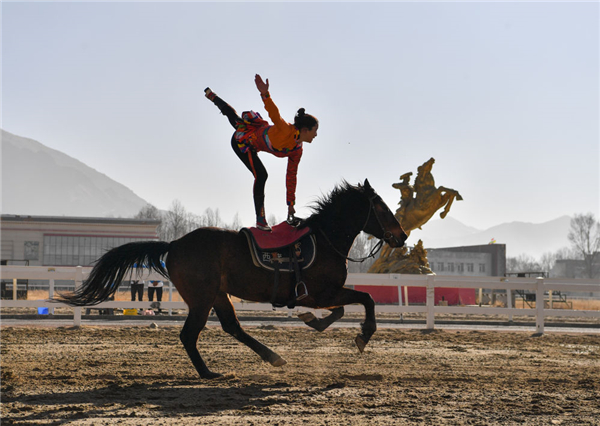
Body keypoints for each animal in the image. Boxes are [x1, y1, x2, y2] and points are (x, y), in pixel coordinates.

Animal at [57, 180, 408, 380]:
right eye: (381, 206)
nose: (403, 235)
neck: (324, 240)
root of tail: (174, 244)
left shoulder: (322, 294)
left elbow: (343, 308)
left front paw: (314, 322)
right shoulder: (322, 292)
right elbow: (364, 299)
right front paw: (363, 335)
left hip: (218, 295)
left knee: (232, 327)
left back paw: (271, 357)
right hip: (201, 297)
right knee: (190, 334)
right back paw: (209, 373)